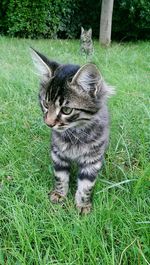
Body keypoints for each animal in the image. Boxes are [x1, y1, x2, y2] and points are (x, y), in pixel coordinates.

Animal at [31, 48, 113, 212]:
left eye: (66, 110)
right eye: (45, 104)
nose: (49, 123)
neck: (75, 133)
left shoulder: (92, 160)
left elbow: (86, 185)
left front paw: (83, 205)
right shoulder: (58, 155)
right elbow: (60, 177)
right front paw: (59, 195)